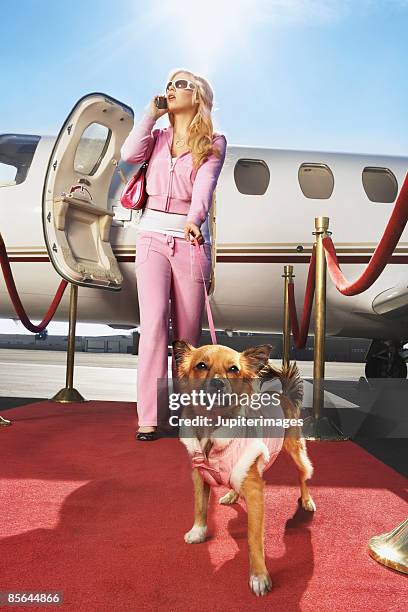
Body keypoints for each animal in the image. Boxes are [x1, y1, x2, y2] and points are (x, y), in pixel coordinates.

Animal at [170, 342, 316, 596]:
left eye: (234, 369)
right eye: (201, 366)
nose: (218, 383)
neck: (214, 426)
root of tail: (283, 395)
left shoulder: (256, 492)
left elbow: (254, 538)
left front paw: (259, 576)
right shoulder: (200, 475)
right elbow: (200, 506)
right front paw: (198, 531)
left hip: (295, 450)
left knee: (302, 475)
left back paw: (306, 500)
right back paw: (231, 495)